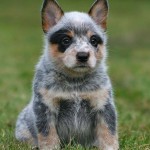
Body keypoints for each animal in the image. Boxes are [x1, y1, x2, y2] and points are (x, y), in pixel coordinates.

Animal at [15, 0, 118, 149]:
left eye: (93, 40)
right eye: (66, 40)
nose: (83, 55)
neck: (75, 82)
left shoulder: (103, 105)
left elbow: (108, 132)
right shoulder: (46, 106)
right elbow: (48, 135)